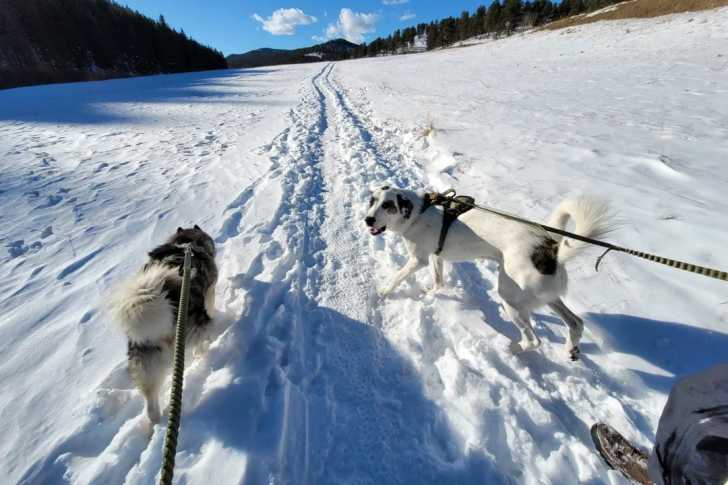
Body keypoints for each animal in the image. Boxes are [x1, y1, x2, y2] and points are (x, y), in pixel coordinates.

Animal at [111, 225, 218, 423]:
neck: (187, 243)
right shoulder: (210, 292)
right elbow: (211, 304)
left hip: (147, 366)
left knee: (150, 406)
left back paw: (156, 421)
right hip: (196, 328)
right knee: (201, 343)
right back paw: (204, 352)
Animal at [365, 186, 611, 361]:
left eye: (388, 205)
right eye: (372, 201)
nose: (368, 219)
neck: (419, 212)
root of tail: (551, 248)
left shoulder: (418, 260)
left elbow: (396, 278)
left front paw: (382, 293)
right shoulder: (436, 257)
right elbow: (438, 281)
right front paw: (430, 294)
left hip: (510, 298)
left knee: (534, 341)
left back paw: (510, 351)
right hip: (546, 296)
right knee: (576, 322)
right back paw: (571, 348)